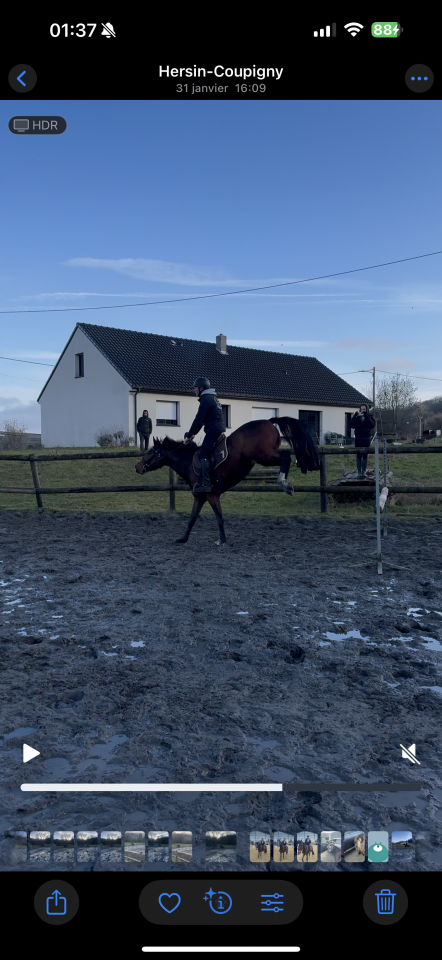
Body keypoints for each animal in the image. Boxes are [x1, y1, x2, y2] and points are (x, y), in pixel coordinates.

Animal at [135, 416, 319, 544]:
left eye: (150, 452)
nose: (137, 466)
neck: (189, 462)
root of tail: (268, 421)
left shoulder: (212, 495)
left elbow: (219, 518)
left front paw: (222, 540)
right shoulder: (200, 497)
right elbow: (192, 519)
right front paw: (183, 538)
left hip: (262, 455)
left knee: (286, 456)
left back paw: (284, 483)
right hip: (263, 458)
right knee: (285, 458)